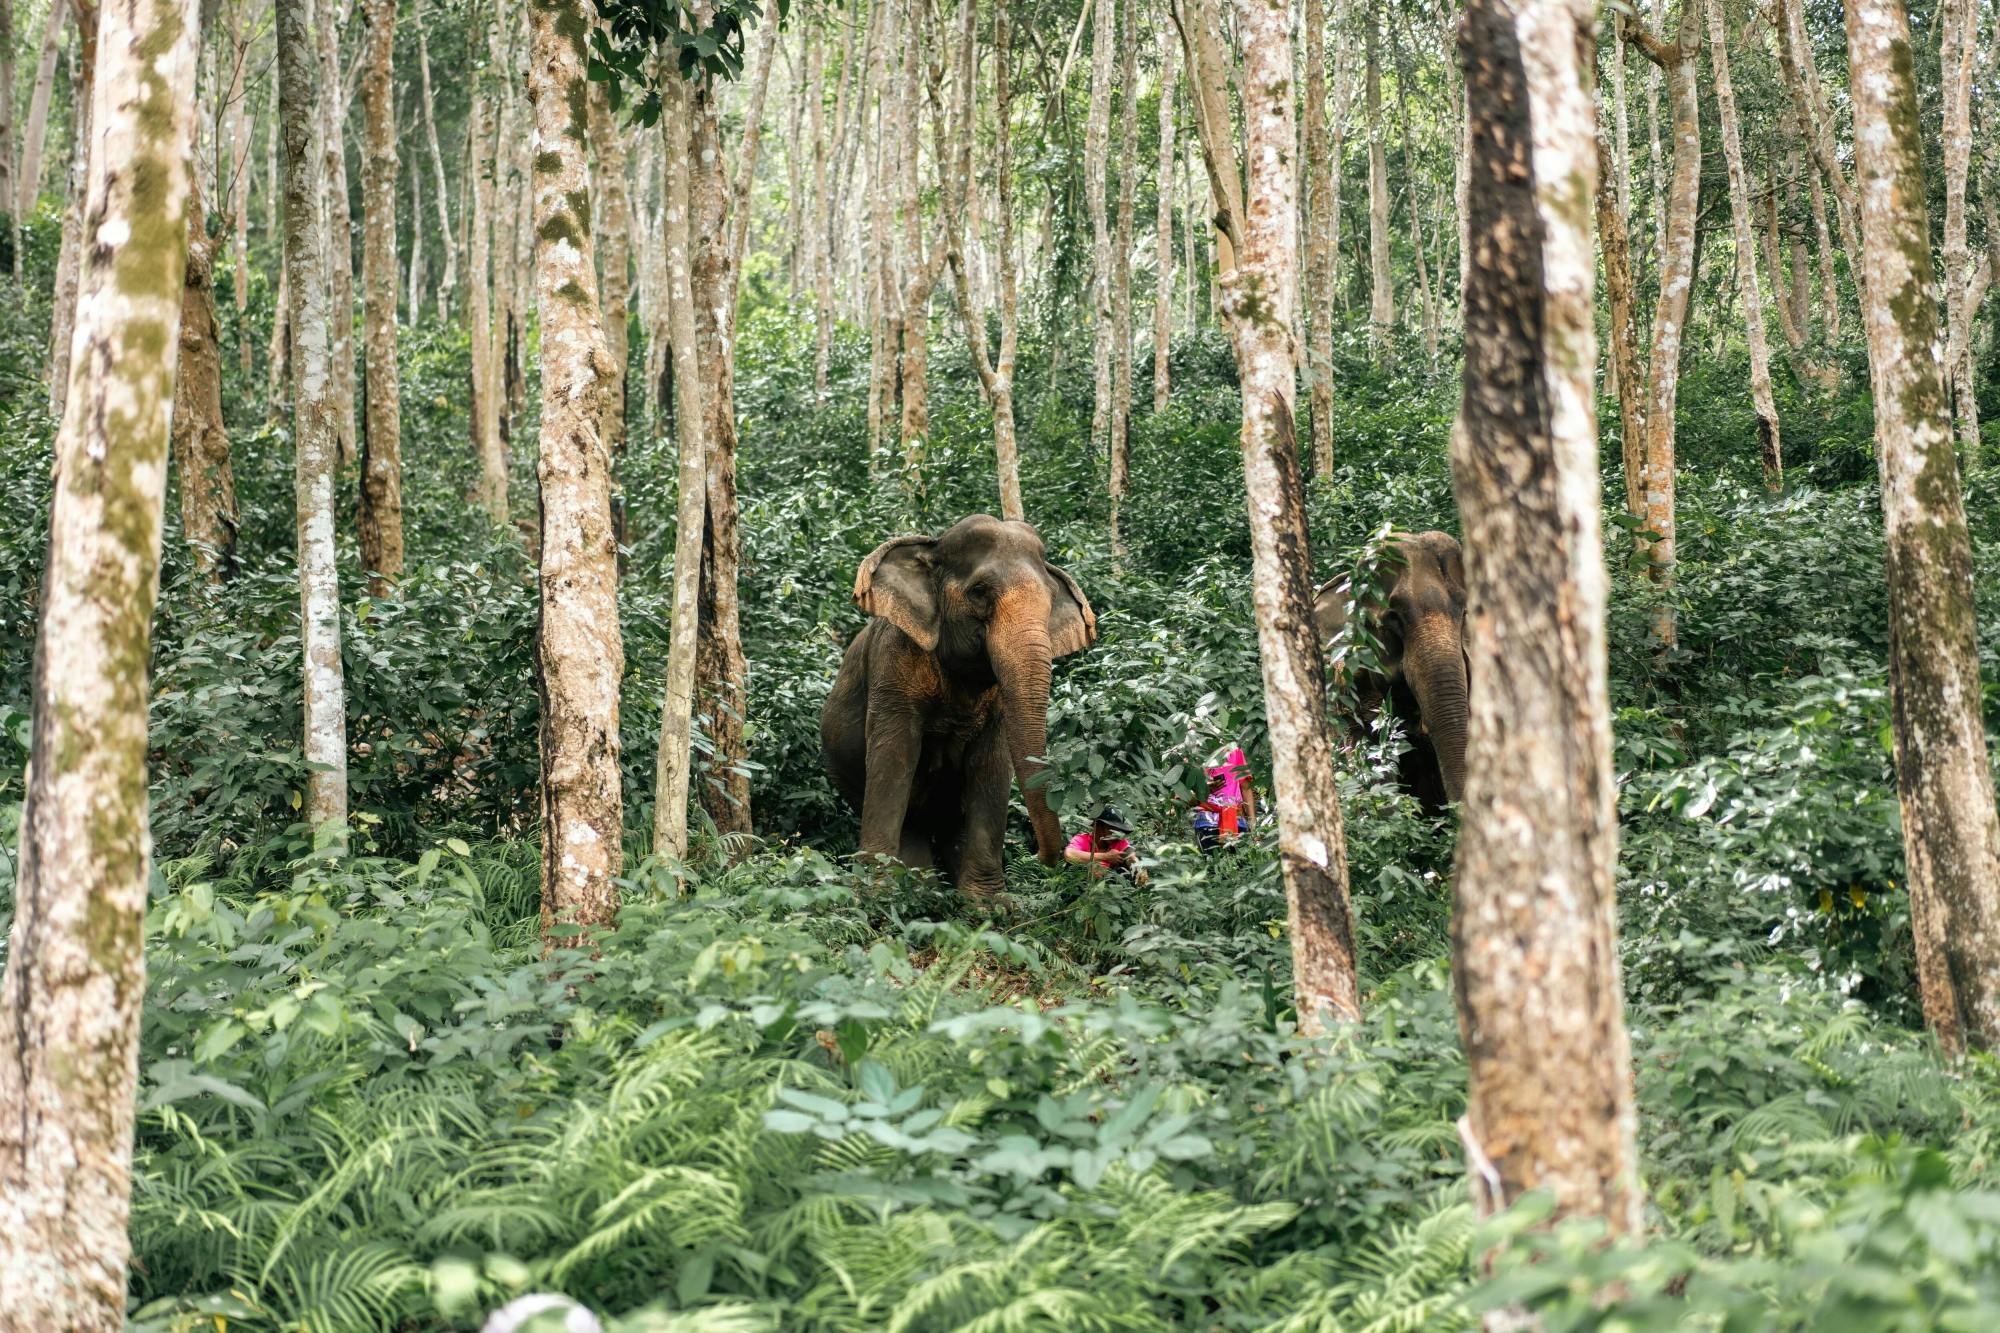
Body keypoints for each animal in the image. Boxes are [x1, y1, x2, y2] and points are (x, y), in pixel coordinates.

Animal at [821, 514, 1097, 896]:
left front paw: (987, 903)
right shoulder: (892, 664)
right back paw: (920, 888)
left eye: (1051, 598)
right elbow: (894, 756)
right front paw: (877, 895)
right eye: (979, 591)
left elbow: (991, 765)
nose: (1049, 859)